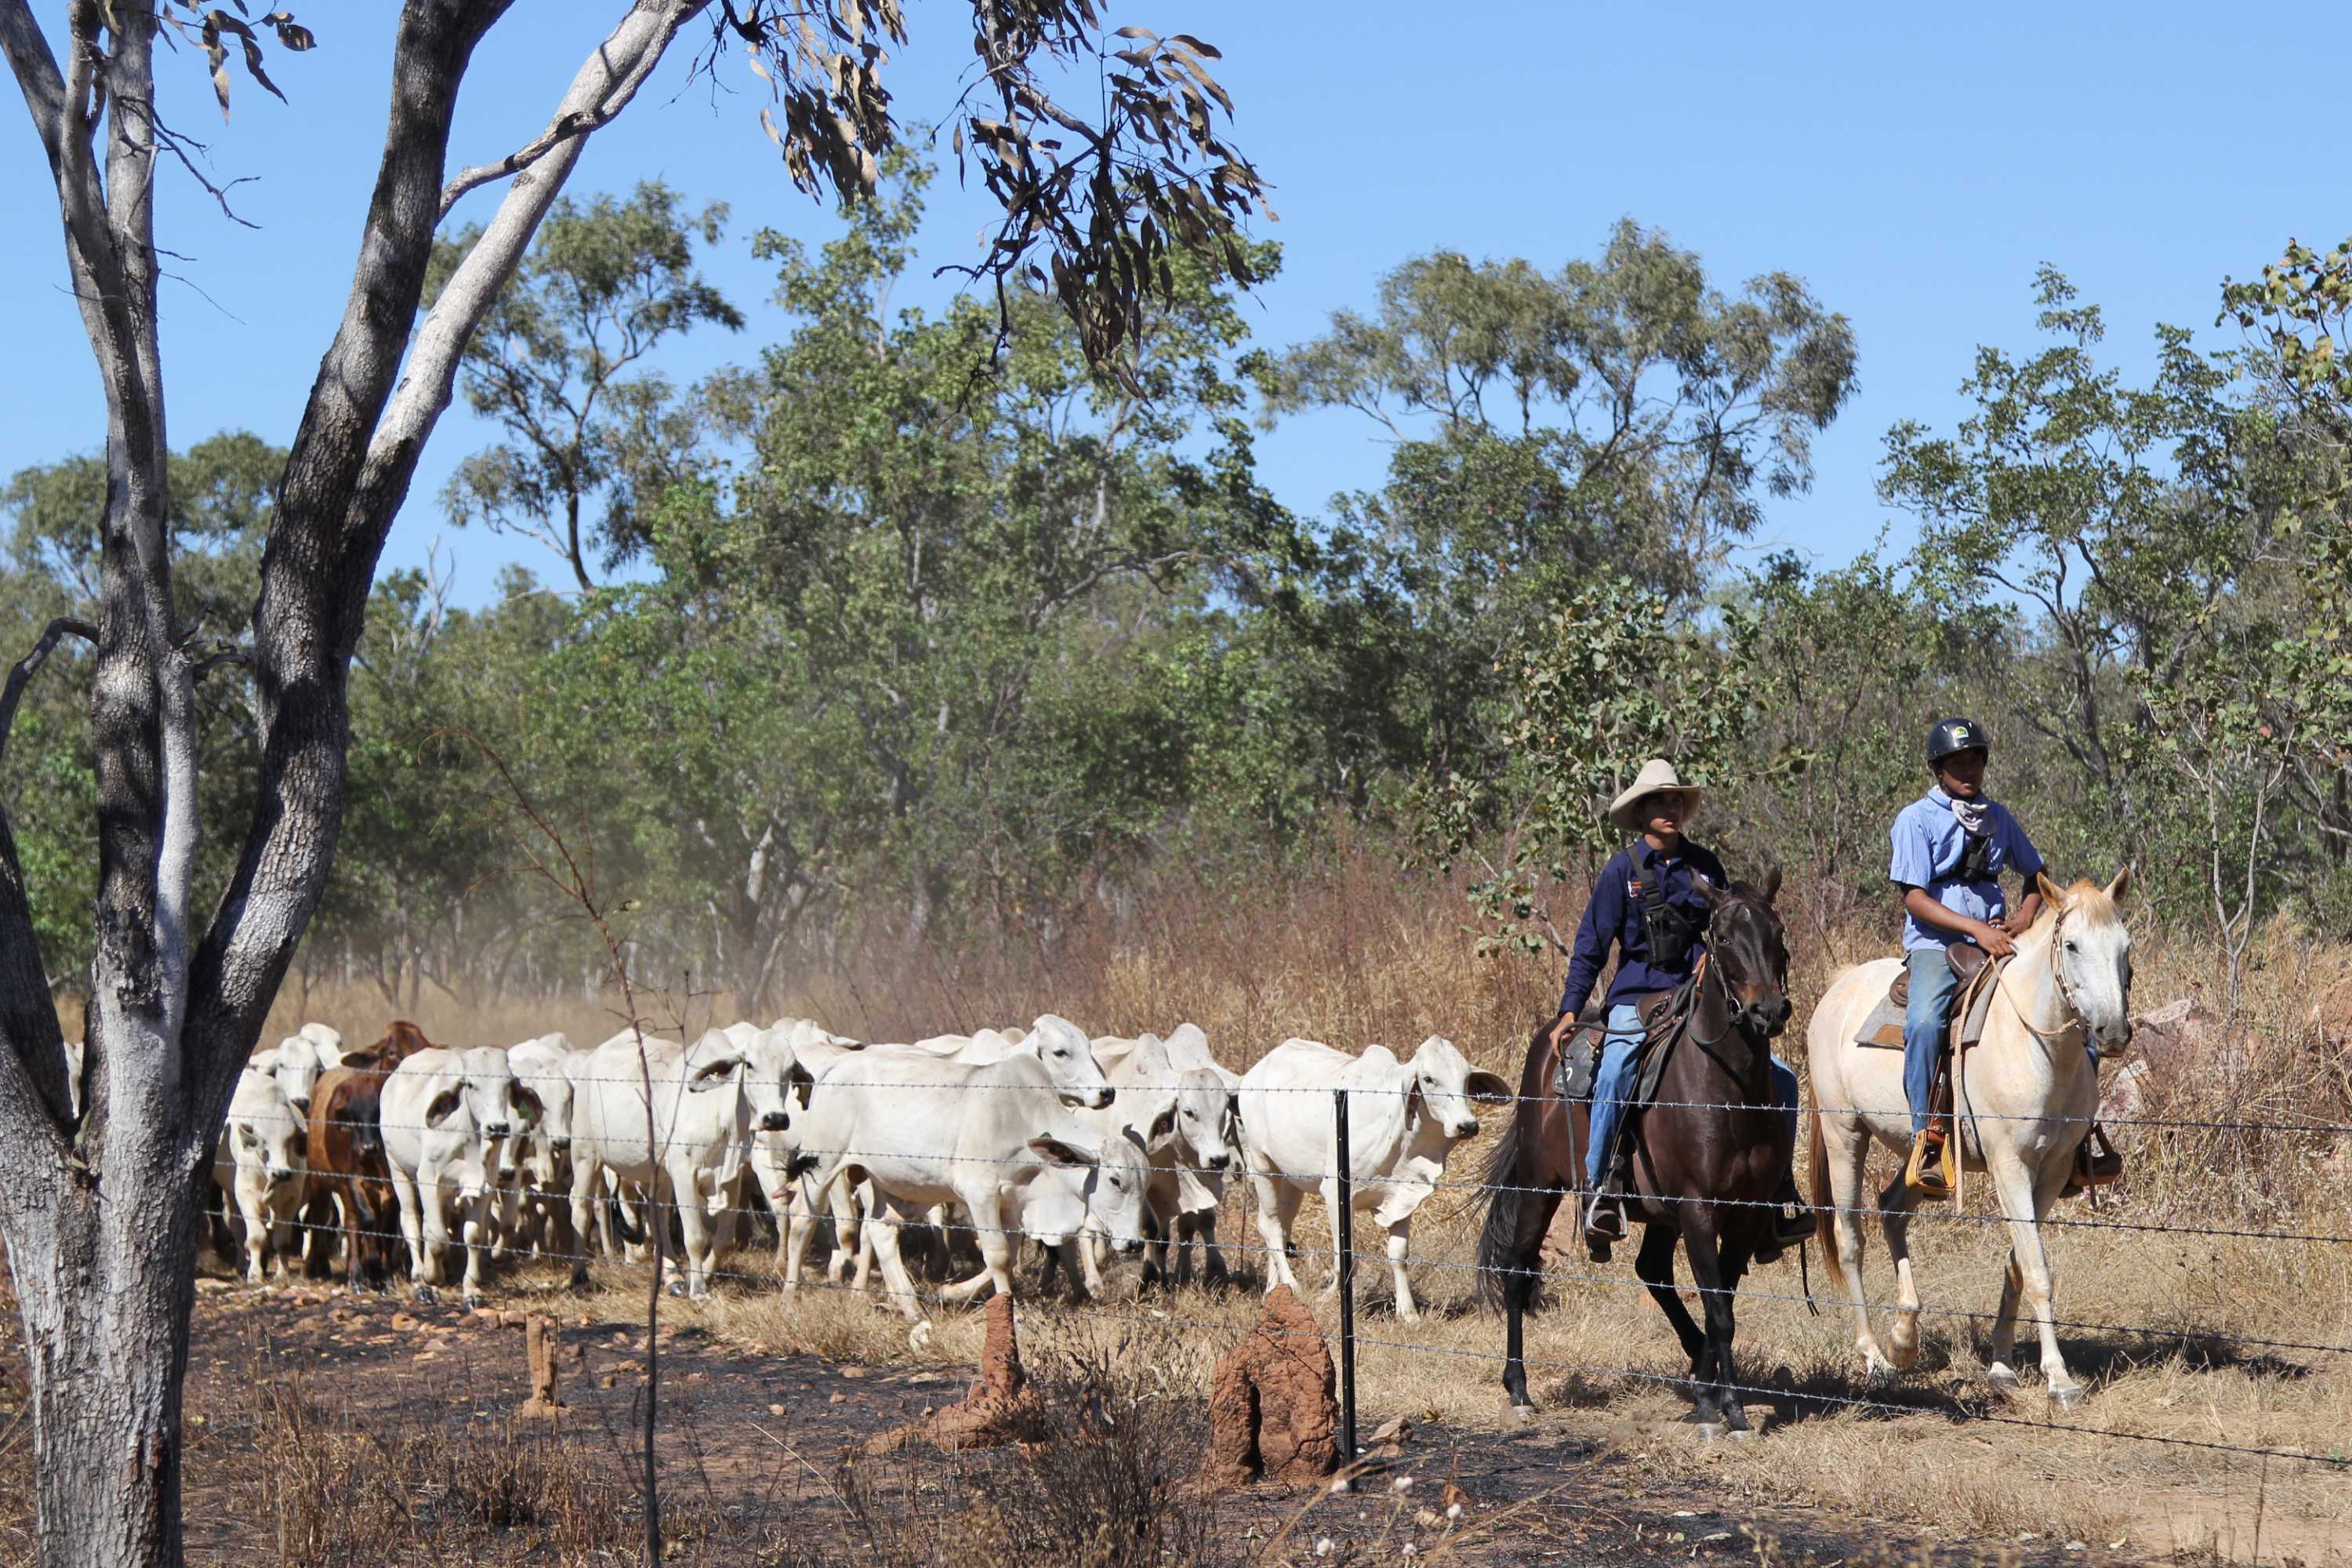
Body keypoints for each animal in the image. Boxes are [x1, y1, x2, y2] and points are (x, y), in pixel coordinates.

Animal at [220, 1067, 309, 1283]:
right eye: (262, 1142)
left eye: (290, 1141)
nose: (282, 1173)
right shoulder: (246, 1193)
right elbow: (256, 1237)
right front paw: (255, 1274)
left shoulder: (291, 1198)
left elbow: (283, 1240)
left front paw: (282, 1274)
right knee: (237, 1229)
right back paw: (243, 1266)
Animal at [380, 1044, 525, 1307]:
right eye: (470, 1084)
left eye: (508, 1083)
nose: (498, 1127)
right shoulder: (428, 1179)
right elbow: (438, 1239)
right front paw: (431, 1277)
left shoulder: (484, 1185)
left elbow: (474, 1236)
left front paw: (471, 1291)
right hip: (398, 1169)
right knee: (412, 1222)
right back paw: (420, 1282)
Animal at [1237, 1034, 1509, 1323]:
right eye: (1428, 1079)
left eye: (1467, 1079)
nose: (1467, 1125)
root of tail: (1256, 1070)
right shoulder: (1336, 1194)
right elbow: (1345, 1259)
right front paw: (1331, 1300)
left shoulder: (1404, 1196)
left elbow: (1399, 1255)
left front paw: (1408, 1313)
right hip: (1263, 1165)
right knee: (1270, 1226)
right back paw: (1291, 1285)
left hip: (1290, 1181)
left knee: (1280, 1225)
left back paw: (1273, 1289)